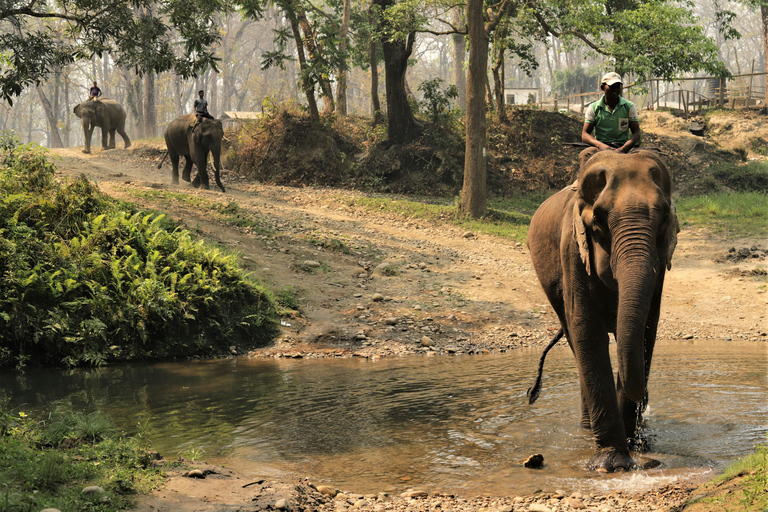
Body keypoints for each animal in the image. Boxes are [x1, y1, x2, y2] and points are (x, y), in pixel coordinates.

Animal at [528, 147, 680, 472]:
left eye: (664, 217)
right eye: (598, 218)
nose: (644, 400)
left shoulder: (659, 269)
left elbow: (646, 330)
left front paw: (634, 448)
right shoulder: (572, 251)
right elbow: (587, 331)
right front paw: (611, 465)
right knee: (574, 339)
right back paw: (588, 428)